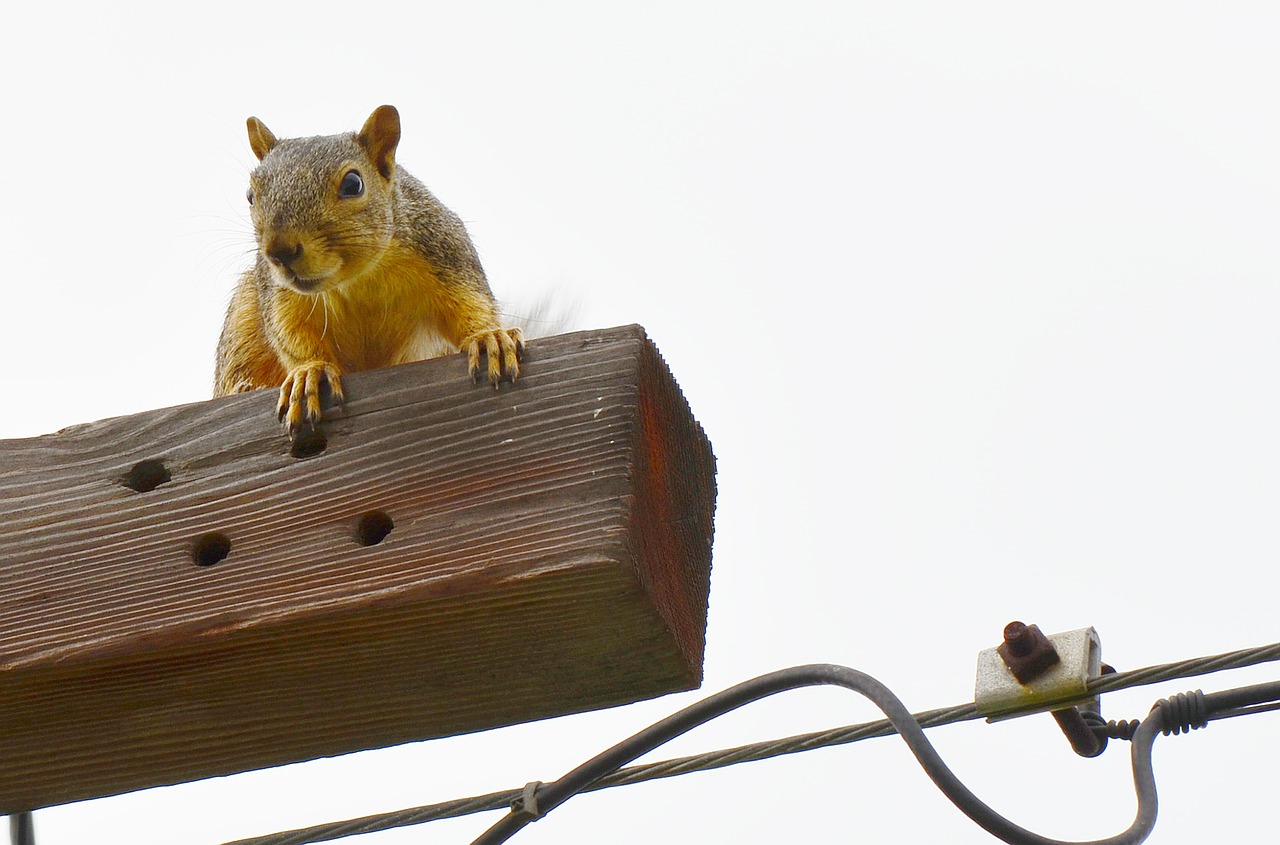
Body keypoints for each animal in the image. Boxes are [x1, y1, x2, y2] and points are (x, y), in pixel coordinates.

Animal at [212, 104, 522, 432]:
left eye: (353, 184)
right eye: (250, 195)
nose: (279, 251)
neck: (356, 280)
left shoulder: (442, 246)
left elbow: (471, 301)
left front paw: (488, 337)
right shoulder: (279, 294)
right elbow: (291, 333)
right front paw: (309, 372)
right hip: (243, 319)